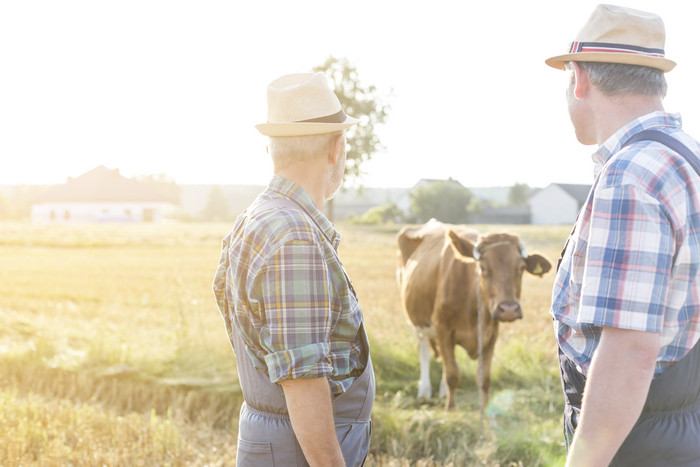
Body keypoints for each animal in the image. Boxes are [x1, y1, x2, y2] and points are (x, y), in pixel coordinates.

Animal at [400, 221, 552, 412]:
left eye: (522, 268)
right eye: (483, 267)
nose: (509, 309)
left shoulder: (491, 334)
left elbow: (484, 378)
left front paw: (485, 410)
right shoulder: (442, 328)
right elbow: (452, 373)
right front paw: (451, 408)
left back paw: (442, 391)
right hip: (417, 323)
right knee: (425, 352)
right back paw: (425, 391)